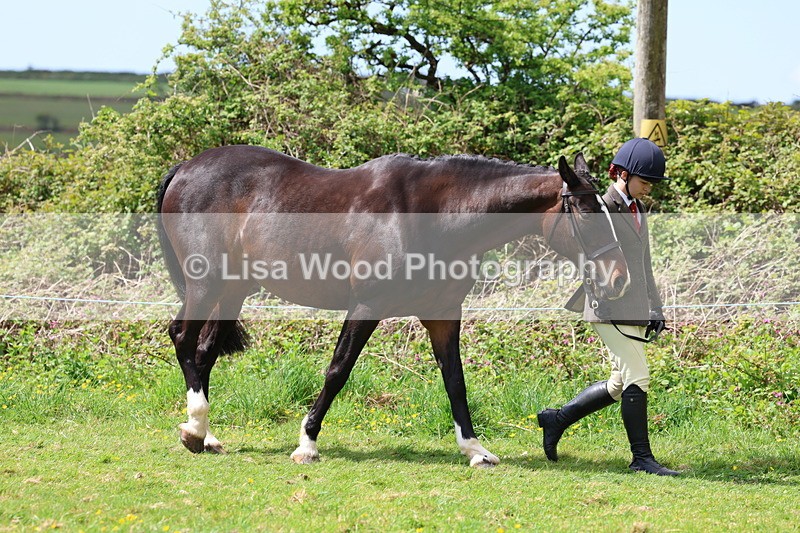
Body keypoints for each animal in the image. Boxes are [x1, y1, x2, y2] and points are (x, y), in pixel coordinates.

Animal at [156, 145, 629, 467]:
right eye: (587, 212)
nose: (619, 279)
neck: (432, 215)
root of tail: (186, 168)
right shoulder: (366, 306)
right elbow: (338, 371)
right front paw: (307, 443)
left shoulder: (443, 316)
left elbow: (455, 381)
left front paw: (475, 449)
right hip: (206, 284)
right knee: (182, 337)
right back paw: (195, 426)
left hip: (232, 289)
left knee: (204, 352)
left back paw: (205, 436)